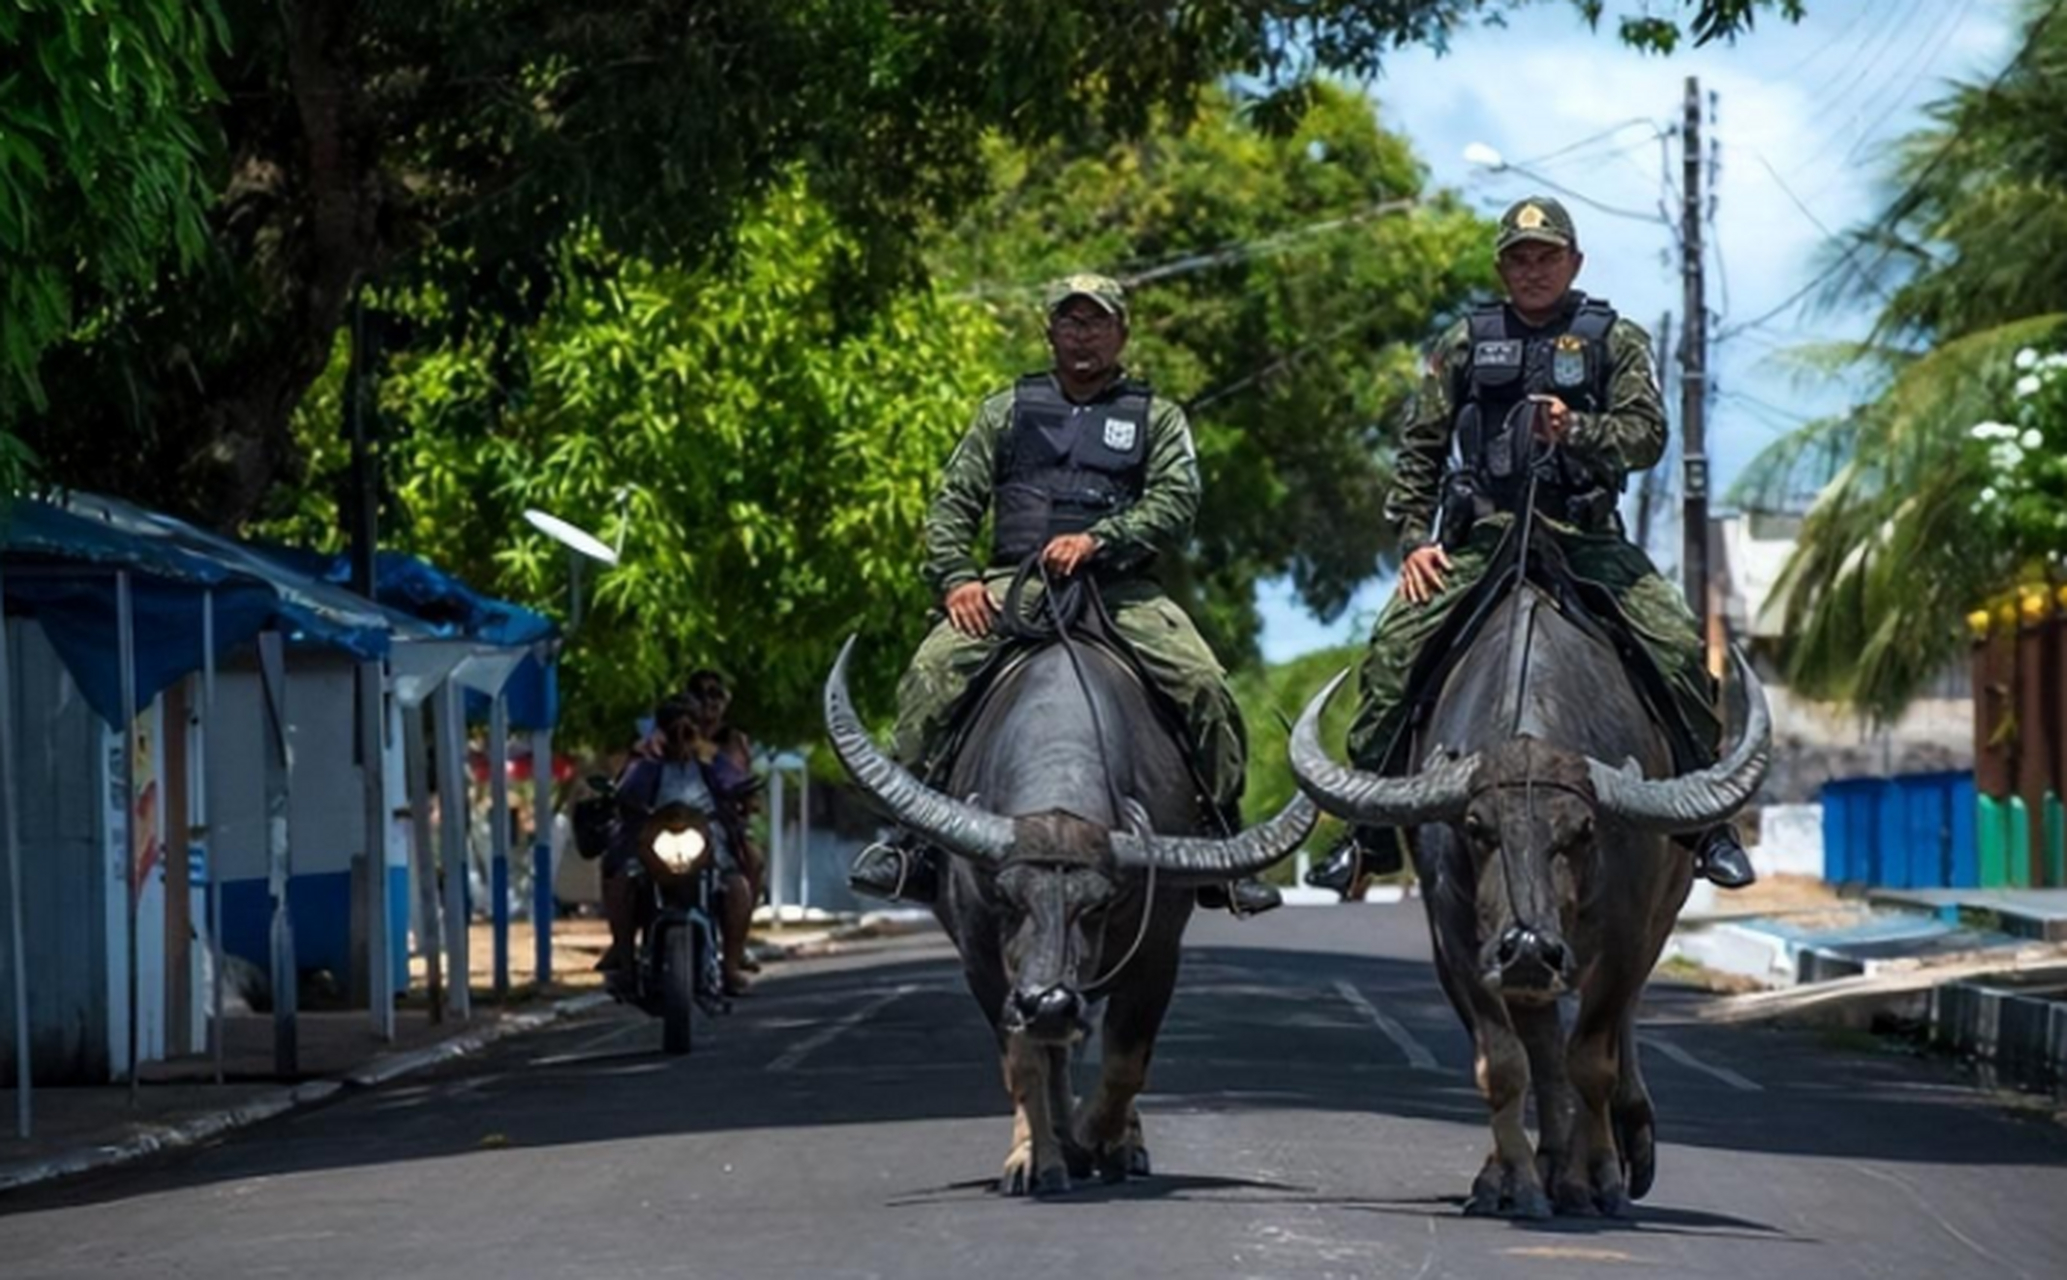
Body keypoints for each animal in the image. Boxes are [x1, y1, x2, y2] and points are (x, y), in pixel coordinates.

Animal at [818, 636, 1306, 1199]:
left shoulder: (1158, 957)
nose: (1047, 1002)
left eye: (1097, 904)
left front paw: (1093, 1138)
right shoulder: (986, 967)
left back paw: (1115, 1143)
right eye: (1007, 897)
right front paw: (1038, 1156)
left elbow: (1125, 1061)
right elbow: (1025, 1061)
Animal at [1281, 574, 1769, 1215]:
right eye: (1475, 826)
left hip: (1662, 913)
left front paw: (1598, 1179)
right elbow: (1505, 1063)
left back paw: (1622, 1143)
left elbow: (1593, 1059)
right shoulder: (1460, 944)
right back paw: (1549, 1163)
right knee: (1543, 1046)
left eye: (1583, 829)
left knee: (1619, 1022)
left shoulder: (1626, 935)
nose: (1531, 947)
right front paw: (1511, 1180)